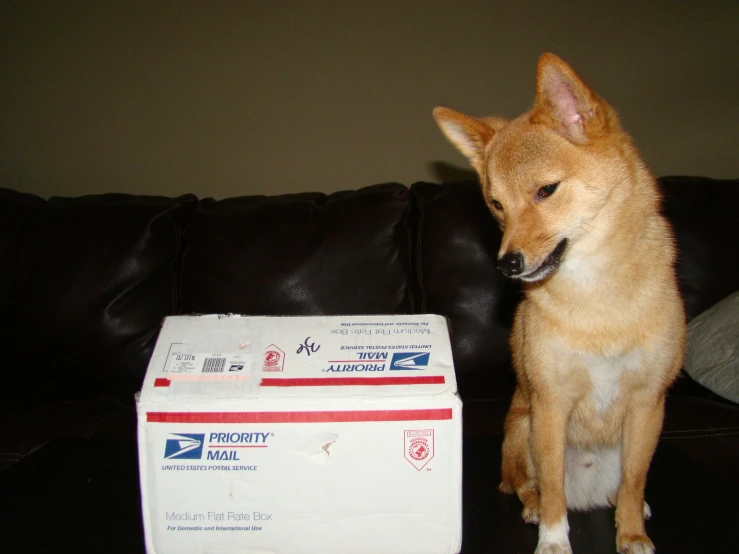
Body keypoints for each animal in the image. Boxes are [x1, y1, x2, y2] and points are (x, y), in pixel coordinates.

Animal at [434, 52, 688, 552]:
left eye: (546, 190)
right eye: (496, 204)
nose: (506, 264)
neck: (596, 300)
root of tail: (587, 492)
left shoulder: (648, 403)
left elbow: (634, 482)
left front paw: (632, 534)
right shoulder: (550, 405)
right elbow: (553, 488)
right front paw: (553, 541)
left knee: (622, 486)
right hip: (520, 427)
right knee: (525, 483)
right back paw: (533, 505)